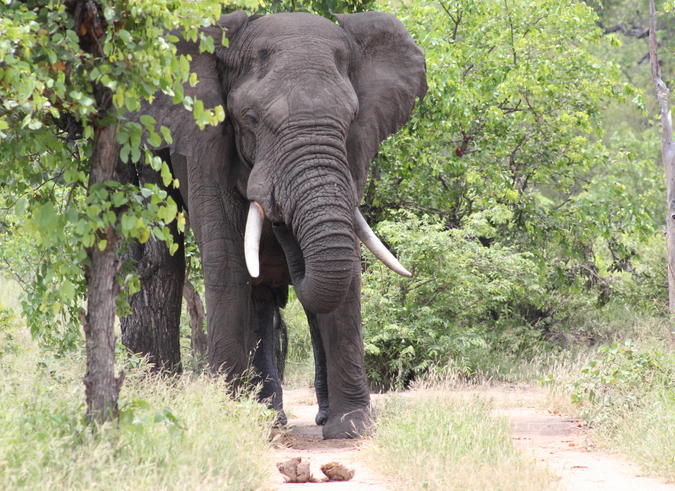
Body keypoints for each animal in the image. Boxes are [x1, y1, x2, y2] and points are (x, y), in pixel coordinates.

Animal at [137, 8, 428, 438]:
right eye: (251, 119)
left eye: (351, 118)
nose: (280, 221)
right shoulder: (207, 146)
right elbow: (227, 264)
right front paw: (232, 419)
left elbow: (348, 271)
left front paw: (351, 428)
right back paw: (269, 417)